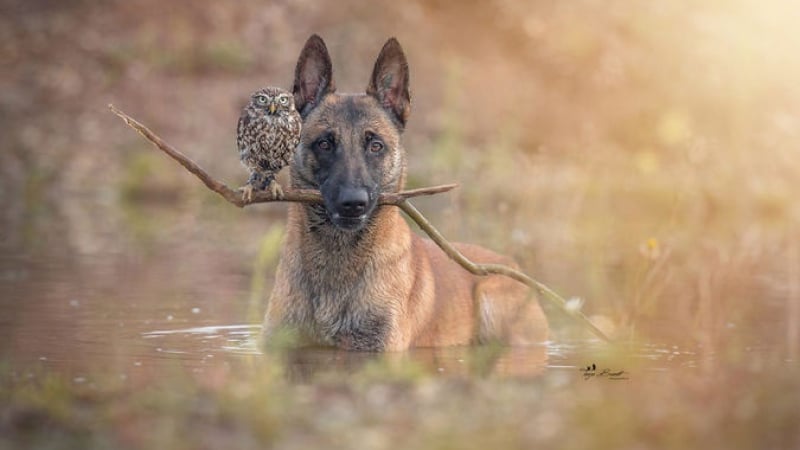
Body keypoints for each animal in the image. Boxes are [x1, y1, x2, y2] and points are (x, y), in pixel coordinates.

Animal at [264, 35, 552, 352]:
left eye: (375, 145)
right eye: (325, 144)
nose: (353, 203)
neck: (336, 261)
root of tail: (510, 263)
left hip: (492, 299)